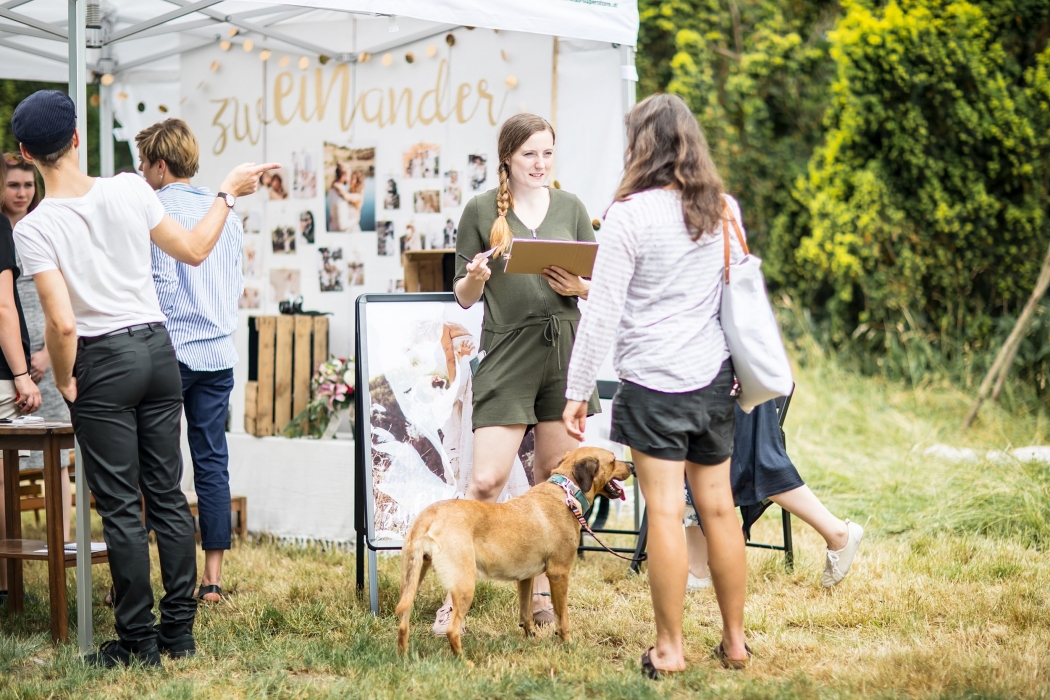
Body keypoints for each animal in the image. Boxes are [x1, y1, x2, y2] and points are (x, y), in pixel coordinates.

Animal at [394, 449, 625, 659]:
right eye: (613, 460)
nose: (631, 466)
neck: (566, 490)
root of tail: (429, 514)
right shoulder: (559, 573)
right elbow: (563, 617)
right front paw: (568, 643)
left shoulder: (525, 577)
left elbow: (526, 612)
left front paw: (531, 638)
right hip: (465, 583)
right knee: (452, 630)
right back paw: (465, 662)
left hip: (412, 579)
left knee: (403, 624)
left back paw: (404, 658)